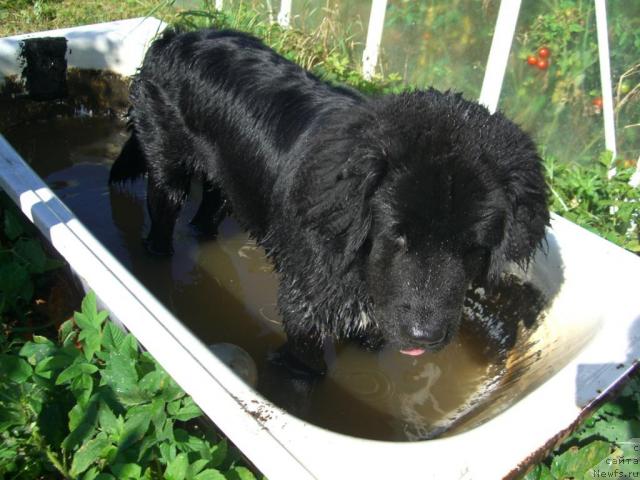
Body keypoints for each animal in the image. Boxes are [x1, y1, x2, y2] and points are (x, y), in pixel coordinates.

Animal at [110, 29, 552, 376]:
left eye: (472, 248)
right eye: (397, 236)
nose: (424, 336)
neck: (358, 260)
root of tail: (175, 36)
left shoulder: (378, 313)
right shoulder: (305, 299)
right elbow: (310, 365)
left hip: (229, 177)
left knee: (211, 208)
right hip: (167, 164)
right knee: (164, 208)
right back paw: (157, 253)